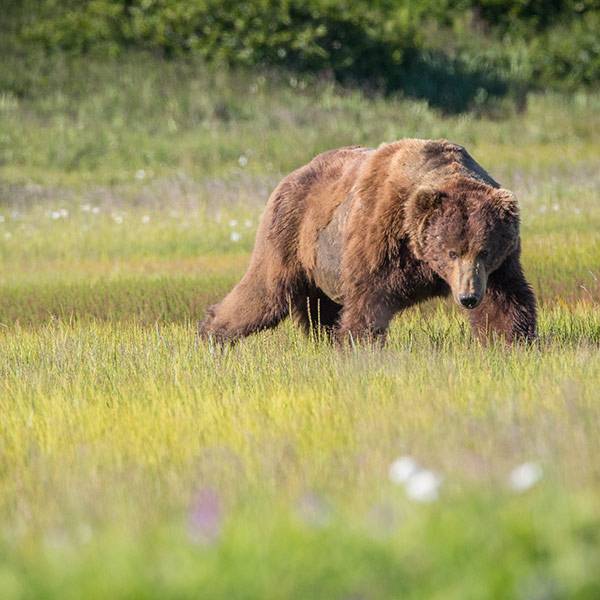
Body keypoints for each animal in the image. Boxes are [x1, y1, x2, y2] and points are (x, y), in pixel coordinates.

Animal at [199, 140, 536, 344]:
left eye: (485, 251)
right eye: (451, 252)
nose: (468, 297)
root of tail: (289, 177)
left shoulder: (500, 267)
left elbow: (505, 301)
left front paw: (512, 341)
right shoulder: (382, 236)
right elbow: (368, 300)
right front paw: (358, 346)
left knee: (319, 308)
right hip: (289, 235)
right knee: (265, 293)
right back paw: (212, 333)